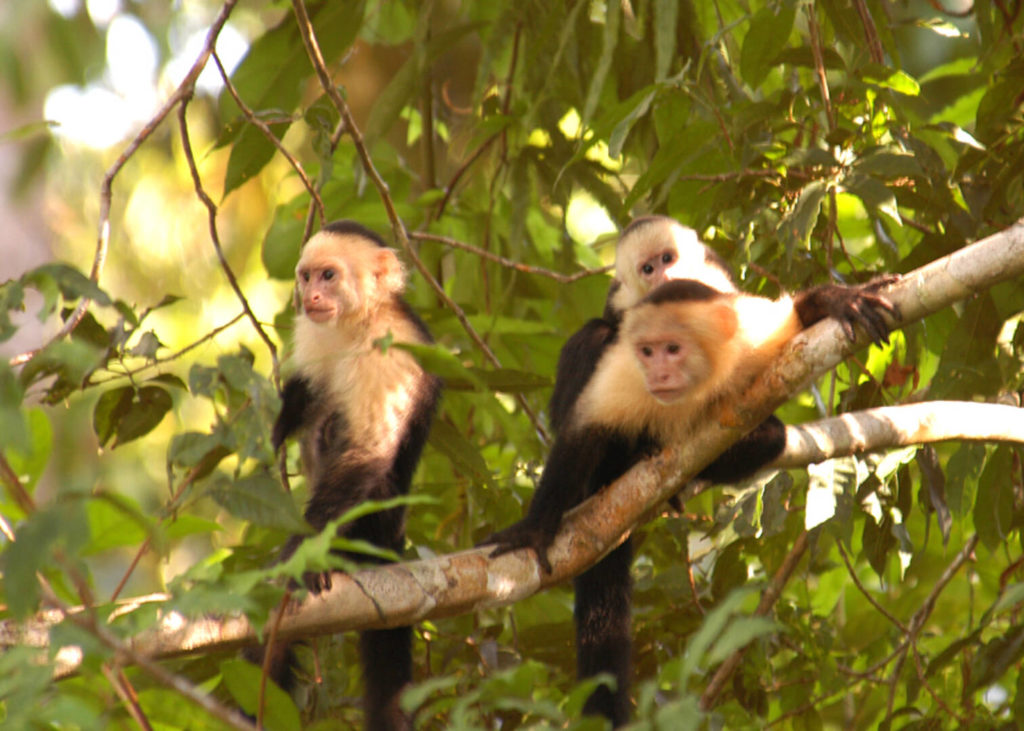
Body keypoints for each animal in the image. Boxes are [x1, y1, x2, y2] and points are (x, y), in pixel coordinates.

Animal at [262, 221, 438, 728]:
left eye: (329, 275)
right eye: (306, 277)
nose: (312, 295)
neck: (357, 324)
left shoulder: (389, 350)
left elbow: (368, 453)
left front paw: (299, 555)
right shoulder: (313, 334)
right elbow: (305, 389)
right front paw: (277, 429)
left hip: (376, 526)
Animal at [487, 215, 897, 724]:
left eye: (668, 258)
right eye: (647, 267)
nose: (663, 275)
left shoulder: (724, 294)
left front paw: (836, 300)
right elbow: (586, 418)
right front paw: (534, 529)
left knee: (770, 436)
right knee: (591, 343)